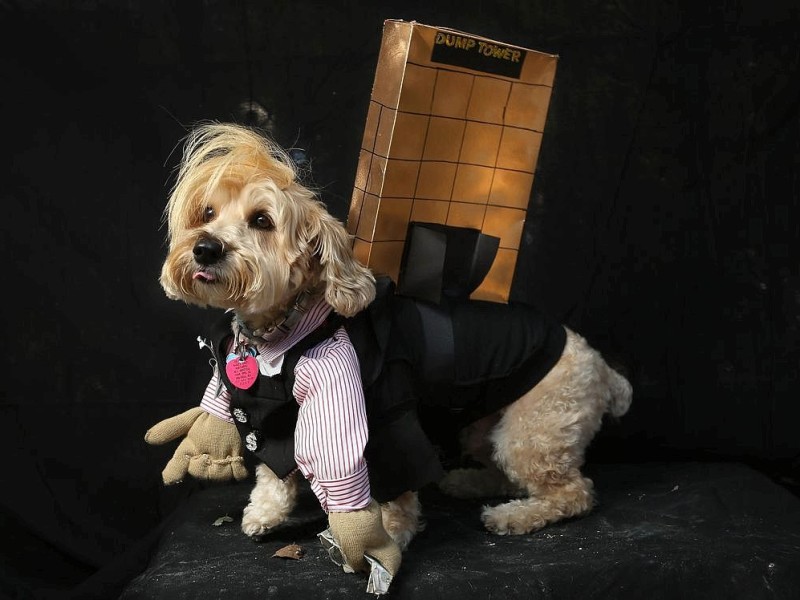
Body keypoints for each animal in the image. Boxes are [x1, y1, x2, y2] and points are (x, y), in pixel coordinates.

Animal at [155, 120, 632, 580]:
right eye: (207, 213)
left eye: (261, 221)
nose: (205, 248)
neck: (285, 330)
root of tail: (602, 369)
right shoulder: (275, 414)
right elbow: (276, 466)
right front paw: (266, 512)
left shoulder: (383, 419)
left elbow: (392, 485)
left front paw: (386, 538)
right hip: (486, 427)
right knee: (509, 475)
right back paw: (466, 483)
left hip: (532, 433)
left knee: (573, 493)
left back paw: (513, 516)